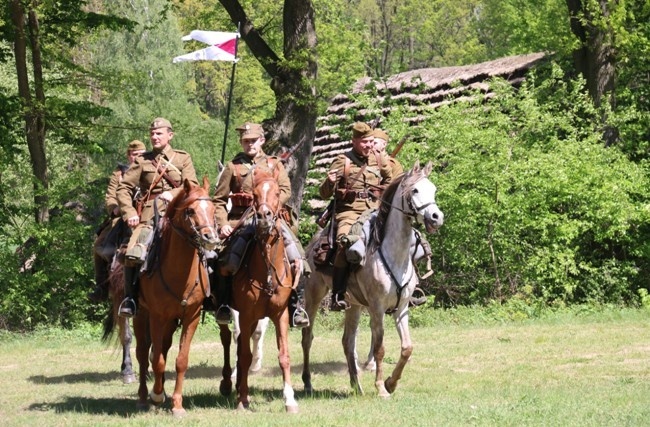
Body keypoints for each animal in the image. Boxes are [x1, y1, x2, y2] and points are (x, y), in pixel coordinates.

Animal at [130, 176, 219, 418]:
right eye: (190, 210)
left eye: (213, 209)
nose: (210, 238)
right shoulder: (156, 317)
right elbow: (157, 360)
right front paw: (156, 396)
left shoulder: (191, 317)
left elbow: (180, 360)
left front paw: (177, 404)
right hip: (140, 315)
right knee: (143, 353)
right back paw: (145, 397)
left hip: (170, 322)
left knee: (162, 349)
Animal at [220, 169, 296, 412]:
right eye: (254, 194)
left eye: (277, 192)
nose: (264, 216)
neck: (267, 271)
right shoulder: (244, 314)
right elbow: (244, 354)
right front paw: (243, 399)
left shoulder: (280, 314)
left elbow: (284, 355)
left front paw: (290, 399)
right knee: (229, 340)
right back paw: (228, 384)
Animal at [302, 161, 442, 398]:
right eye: (415, 190)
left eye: (433, 189)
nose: (436, 217)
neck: (394, 254)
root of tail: (312, 244)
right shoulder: (377, 308)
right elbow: (380, 348)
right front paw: (380, 387)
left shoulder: (401, 308)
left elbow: (407, 347)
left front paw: (391, 383)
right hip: (313, 297)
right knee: (307, 338)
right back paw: (308, 382)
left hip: (354, 306)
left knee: (348, 342)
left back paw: (356, 385)